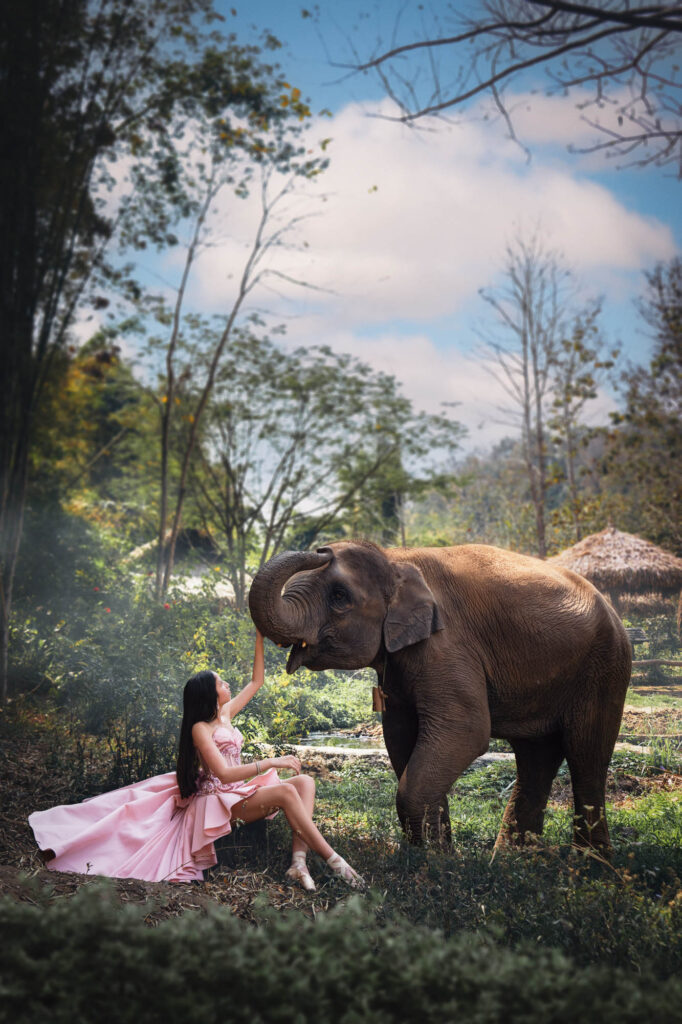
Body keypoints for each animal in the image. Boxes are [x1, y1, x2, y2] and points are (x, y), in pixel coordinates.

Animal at [248, 540, 632, 853]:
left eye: (340, 596)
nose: (321, 549)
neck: (395, 558)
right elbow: (401, 735)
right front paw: (436, 856)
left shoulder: (447, 645)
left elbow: (466, 730)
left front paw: (430, 858)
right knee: (536, 756)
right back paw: (513, 862)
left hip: (605, 670)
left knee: (586, 754)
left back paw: (590, 869)